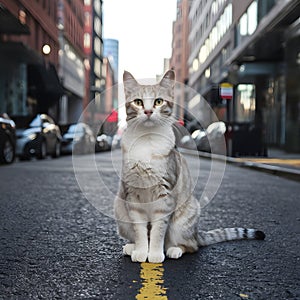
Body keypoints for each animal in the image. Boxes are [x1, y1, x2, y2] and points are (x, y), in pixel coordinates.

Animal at [113, 70, 264, 262]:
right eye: (138, 102)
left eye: (158, 101)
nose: (147, 111)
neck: (146, 141)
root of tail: (197, 233)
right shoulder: (132, 195)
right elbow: (140, 231)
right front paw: (141, 252)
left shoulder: (165, 195)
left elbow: (158, 231)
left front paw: (154, 254)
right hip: (120, 209)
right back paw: (131, 247)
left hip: (184, 220)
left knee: (191, 246)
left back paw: (174, 250)